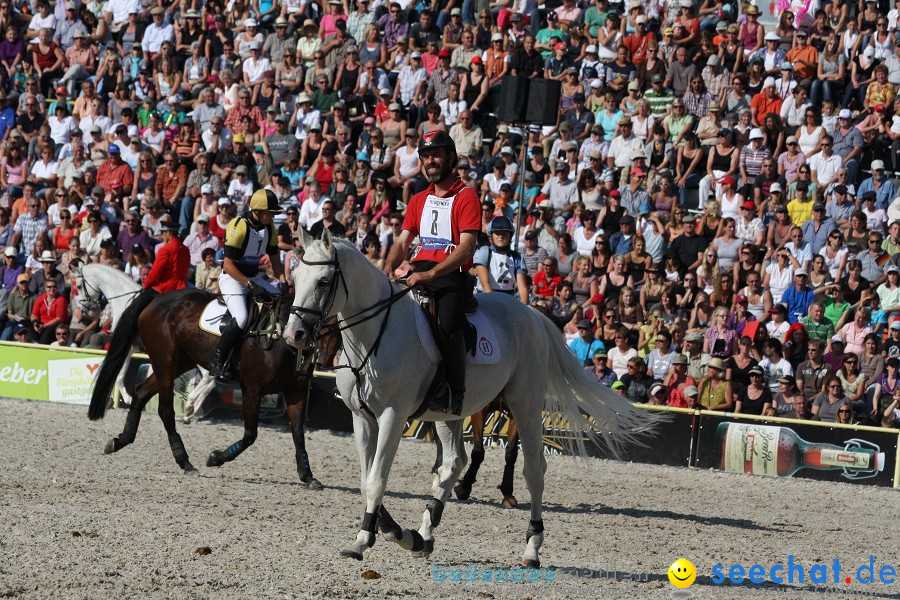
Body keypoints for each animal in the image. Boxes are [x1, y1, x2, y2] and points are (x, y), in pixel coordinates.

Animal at [86, 288, 340, 488]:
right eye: (325, 322)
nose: (326, 360)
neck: (279, 337)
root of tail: (158, 298)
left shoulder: (296, 392)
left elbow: (298, 435)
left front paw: (308, 477)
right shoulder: (252, 390)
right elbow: (250, 435)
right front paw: (216, 458)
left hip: (180, 362)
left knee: (140, 393)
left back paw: (120, 441)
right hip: (164, 360)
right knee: (165, 410)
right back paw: (185, 461)